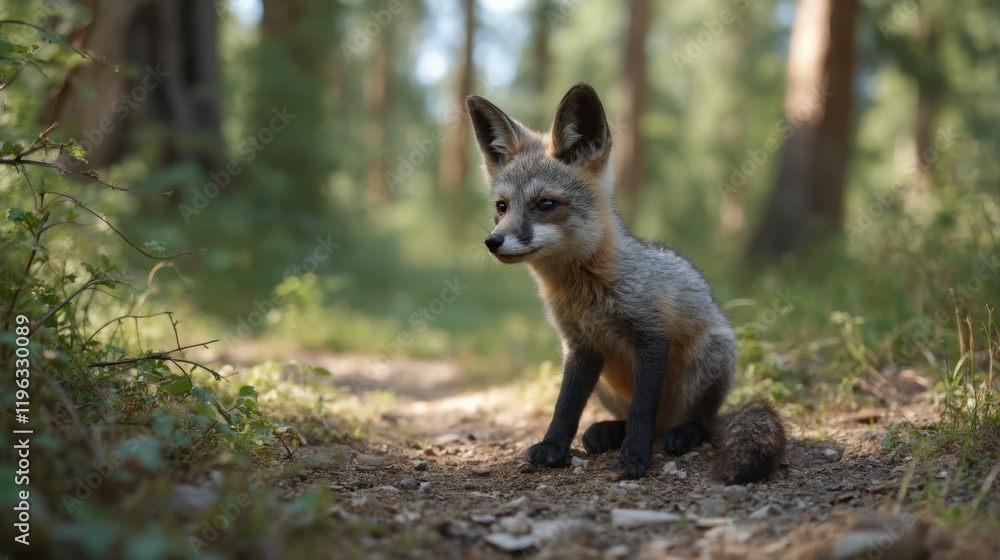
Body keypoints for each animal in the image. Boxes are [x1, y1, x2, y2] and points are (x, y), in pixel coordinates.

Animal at [466, 83, 786, 483]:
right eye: (502, 207)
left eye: (545, 204)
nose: (492, 242)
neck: (583, 292)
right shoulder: (579, 348)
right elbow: (564, 408)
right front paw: (553, 447)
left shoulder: (651, 337)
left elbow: (641, 411)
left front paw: (634, 458)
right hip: (604, 381)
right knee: (633, 419)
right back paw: (606, 432)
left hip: (712, 355)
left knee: (694, 422)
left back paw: (682, 434)